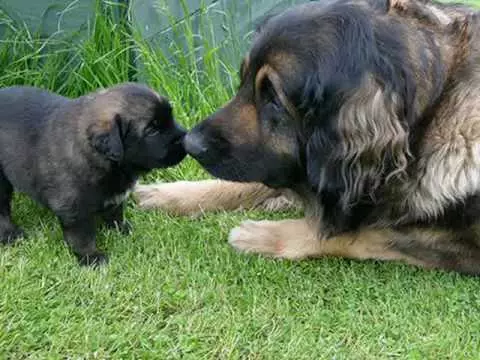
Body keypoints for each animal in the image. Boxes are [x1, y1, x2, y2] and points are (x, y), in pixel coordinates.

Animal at [0, 83, 186, 264]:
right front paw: (91, 257)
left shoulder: (114, 194)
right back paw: (11, 235)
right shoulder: (73, 208)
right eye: (152, 130)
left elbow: (115, 213)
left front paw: (121, 229)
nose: (185, 139)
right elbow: (82, 237)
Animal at [135, 0, 480, 274]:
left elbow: (353, 235)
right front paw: (170, 193)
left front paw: (261, 235)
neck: (427, 115)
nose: (190, 143)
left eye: (273, 98)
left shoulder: (458, 247)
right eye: (243, 80)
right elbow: (249, 182)